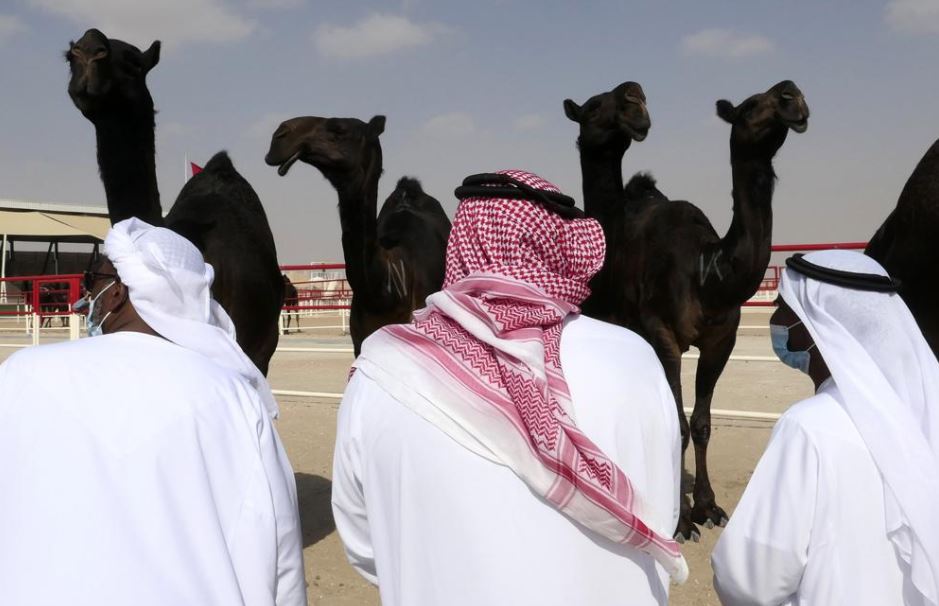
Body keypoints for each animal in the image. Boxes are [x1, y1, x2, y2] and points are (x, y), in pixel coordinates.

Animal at [568, 81, 812, 540]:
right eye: (750, 105)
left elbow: (700, 423)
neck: (708, 272)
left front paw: (708, 506)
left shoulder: (721, 340)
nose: (792, 95)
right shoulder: (663, 334)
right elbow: (677, 424)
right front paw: (680, 519)